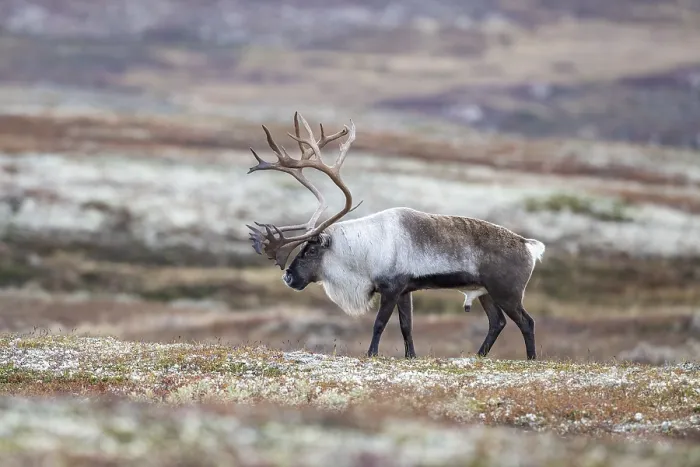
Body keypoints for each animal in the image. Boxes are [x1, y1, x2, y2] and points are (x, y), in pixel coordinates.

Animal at [245, 112, 546, 360]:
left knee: (526, 321)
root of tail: (529, 245)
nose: (288, 277)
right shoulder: (405, 290)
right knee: (498, 322)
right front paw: (411, 356)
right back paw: (479, 356)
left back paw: (530, 359)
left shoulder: (391, 288)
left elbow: (380, 323)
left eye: (309, 250)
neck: (362, 250)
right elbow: (406, 326)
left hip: (507, 292)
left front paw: (371, 353)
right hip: (485, 292)